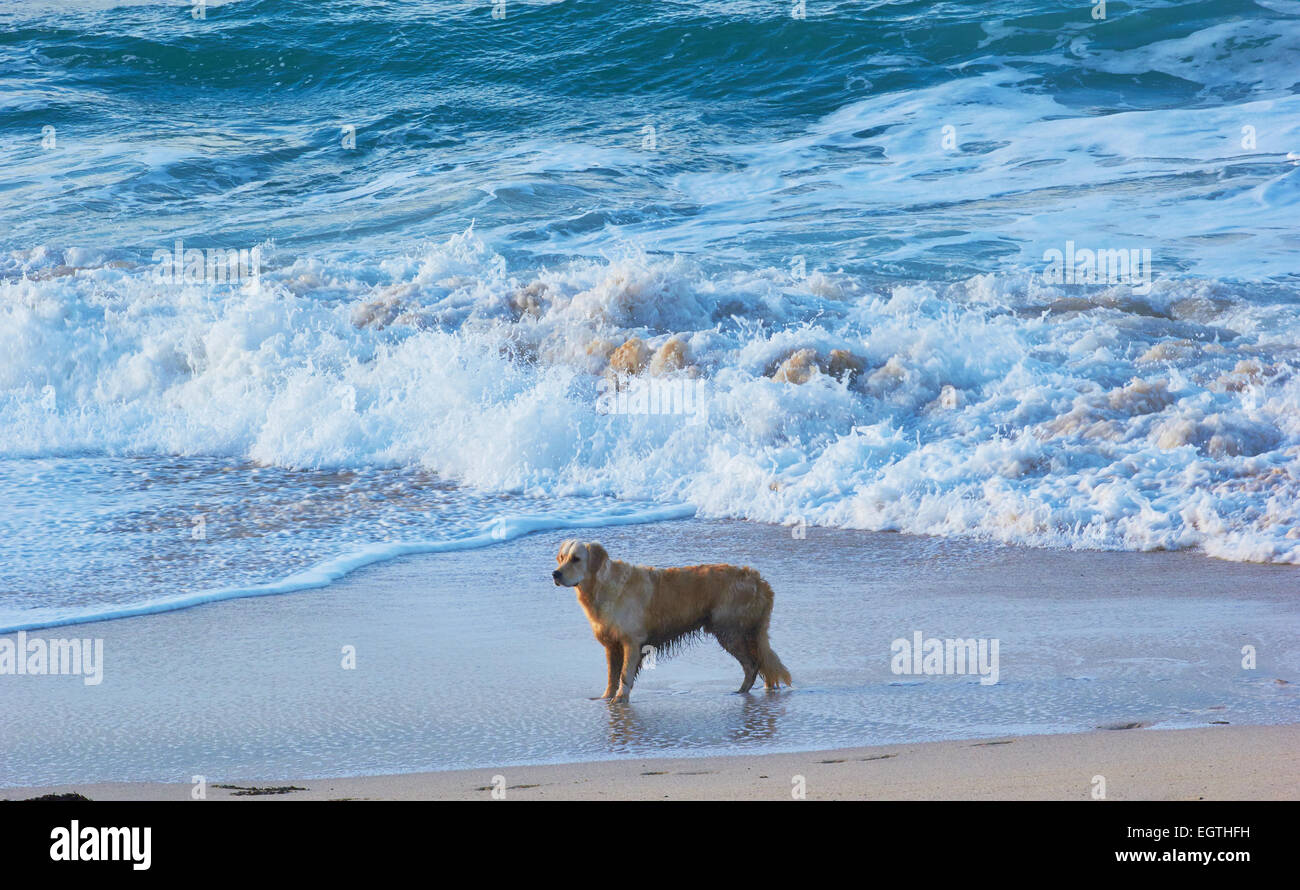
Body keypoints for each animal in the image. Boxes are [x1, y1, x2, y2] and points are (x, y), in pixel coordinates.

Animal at [548, 540, 790, 701]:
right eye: (561, 558)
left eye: (576, 559)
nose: (555, 574)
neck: (602, 586)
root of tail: (760, 581)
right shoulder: (612, 645)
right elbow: (611, 676)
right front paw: (606, 698)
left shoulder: (632, 641)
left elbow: (624, 675)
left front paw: (620, 699)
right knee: (763, 662)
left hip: (729, 631)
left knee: (752, 664)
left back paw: (740, 691)